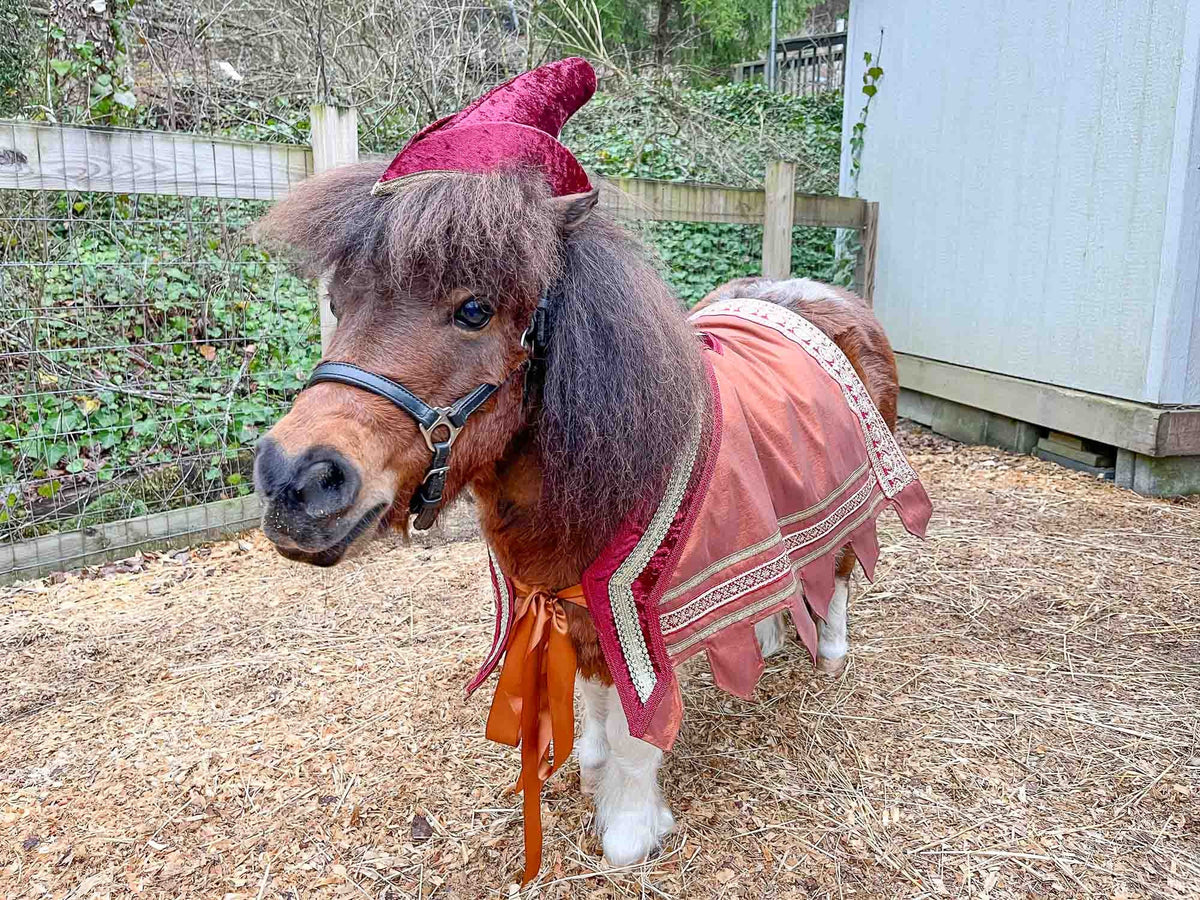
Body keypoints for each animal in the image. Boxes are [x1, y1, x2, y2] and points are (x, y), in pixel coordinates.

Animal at [251, 164, 915, 873]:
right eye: (340, 302)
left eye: (474, 309)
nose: (293, 480)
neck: (611, 462)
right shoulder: (576, 602)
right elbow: (596, 696)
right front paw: (593, 768)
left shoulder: (641, 621)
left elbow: (634, 734)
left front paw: (630, 827)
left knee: (839, 569)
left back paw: (832, 654)